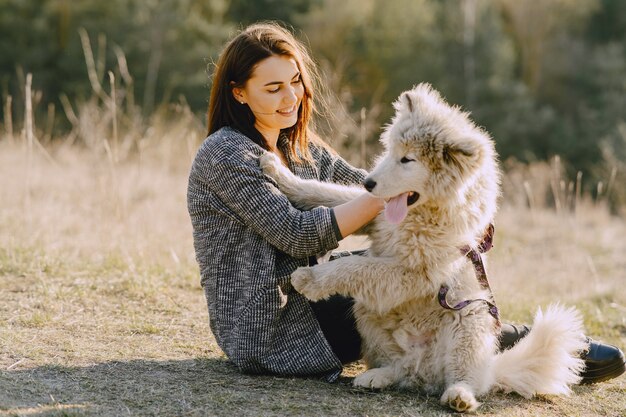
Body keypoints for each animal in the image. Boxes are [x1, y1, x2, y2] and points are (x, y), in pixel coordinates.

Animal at [258, 83, 584, 412]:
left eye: (408, 160)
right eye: (391, 152)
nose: (368, 183)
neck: (422, 213)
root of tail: (423, 367)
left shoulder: (414, 273)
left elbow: (354, 265)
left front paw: (309, 279)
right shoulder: (372, 215)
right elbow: (323, 192)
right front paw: (276, 170)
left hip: (471, 319)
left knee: (466, 379)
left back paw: (459, 396)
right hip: (367, 314)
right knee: (400, 368)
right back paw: (377, 376)